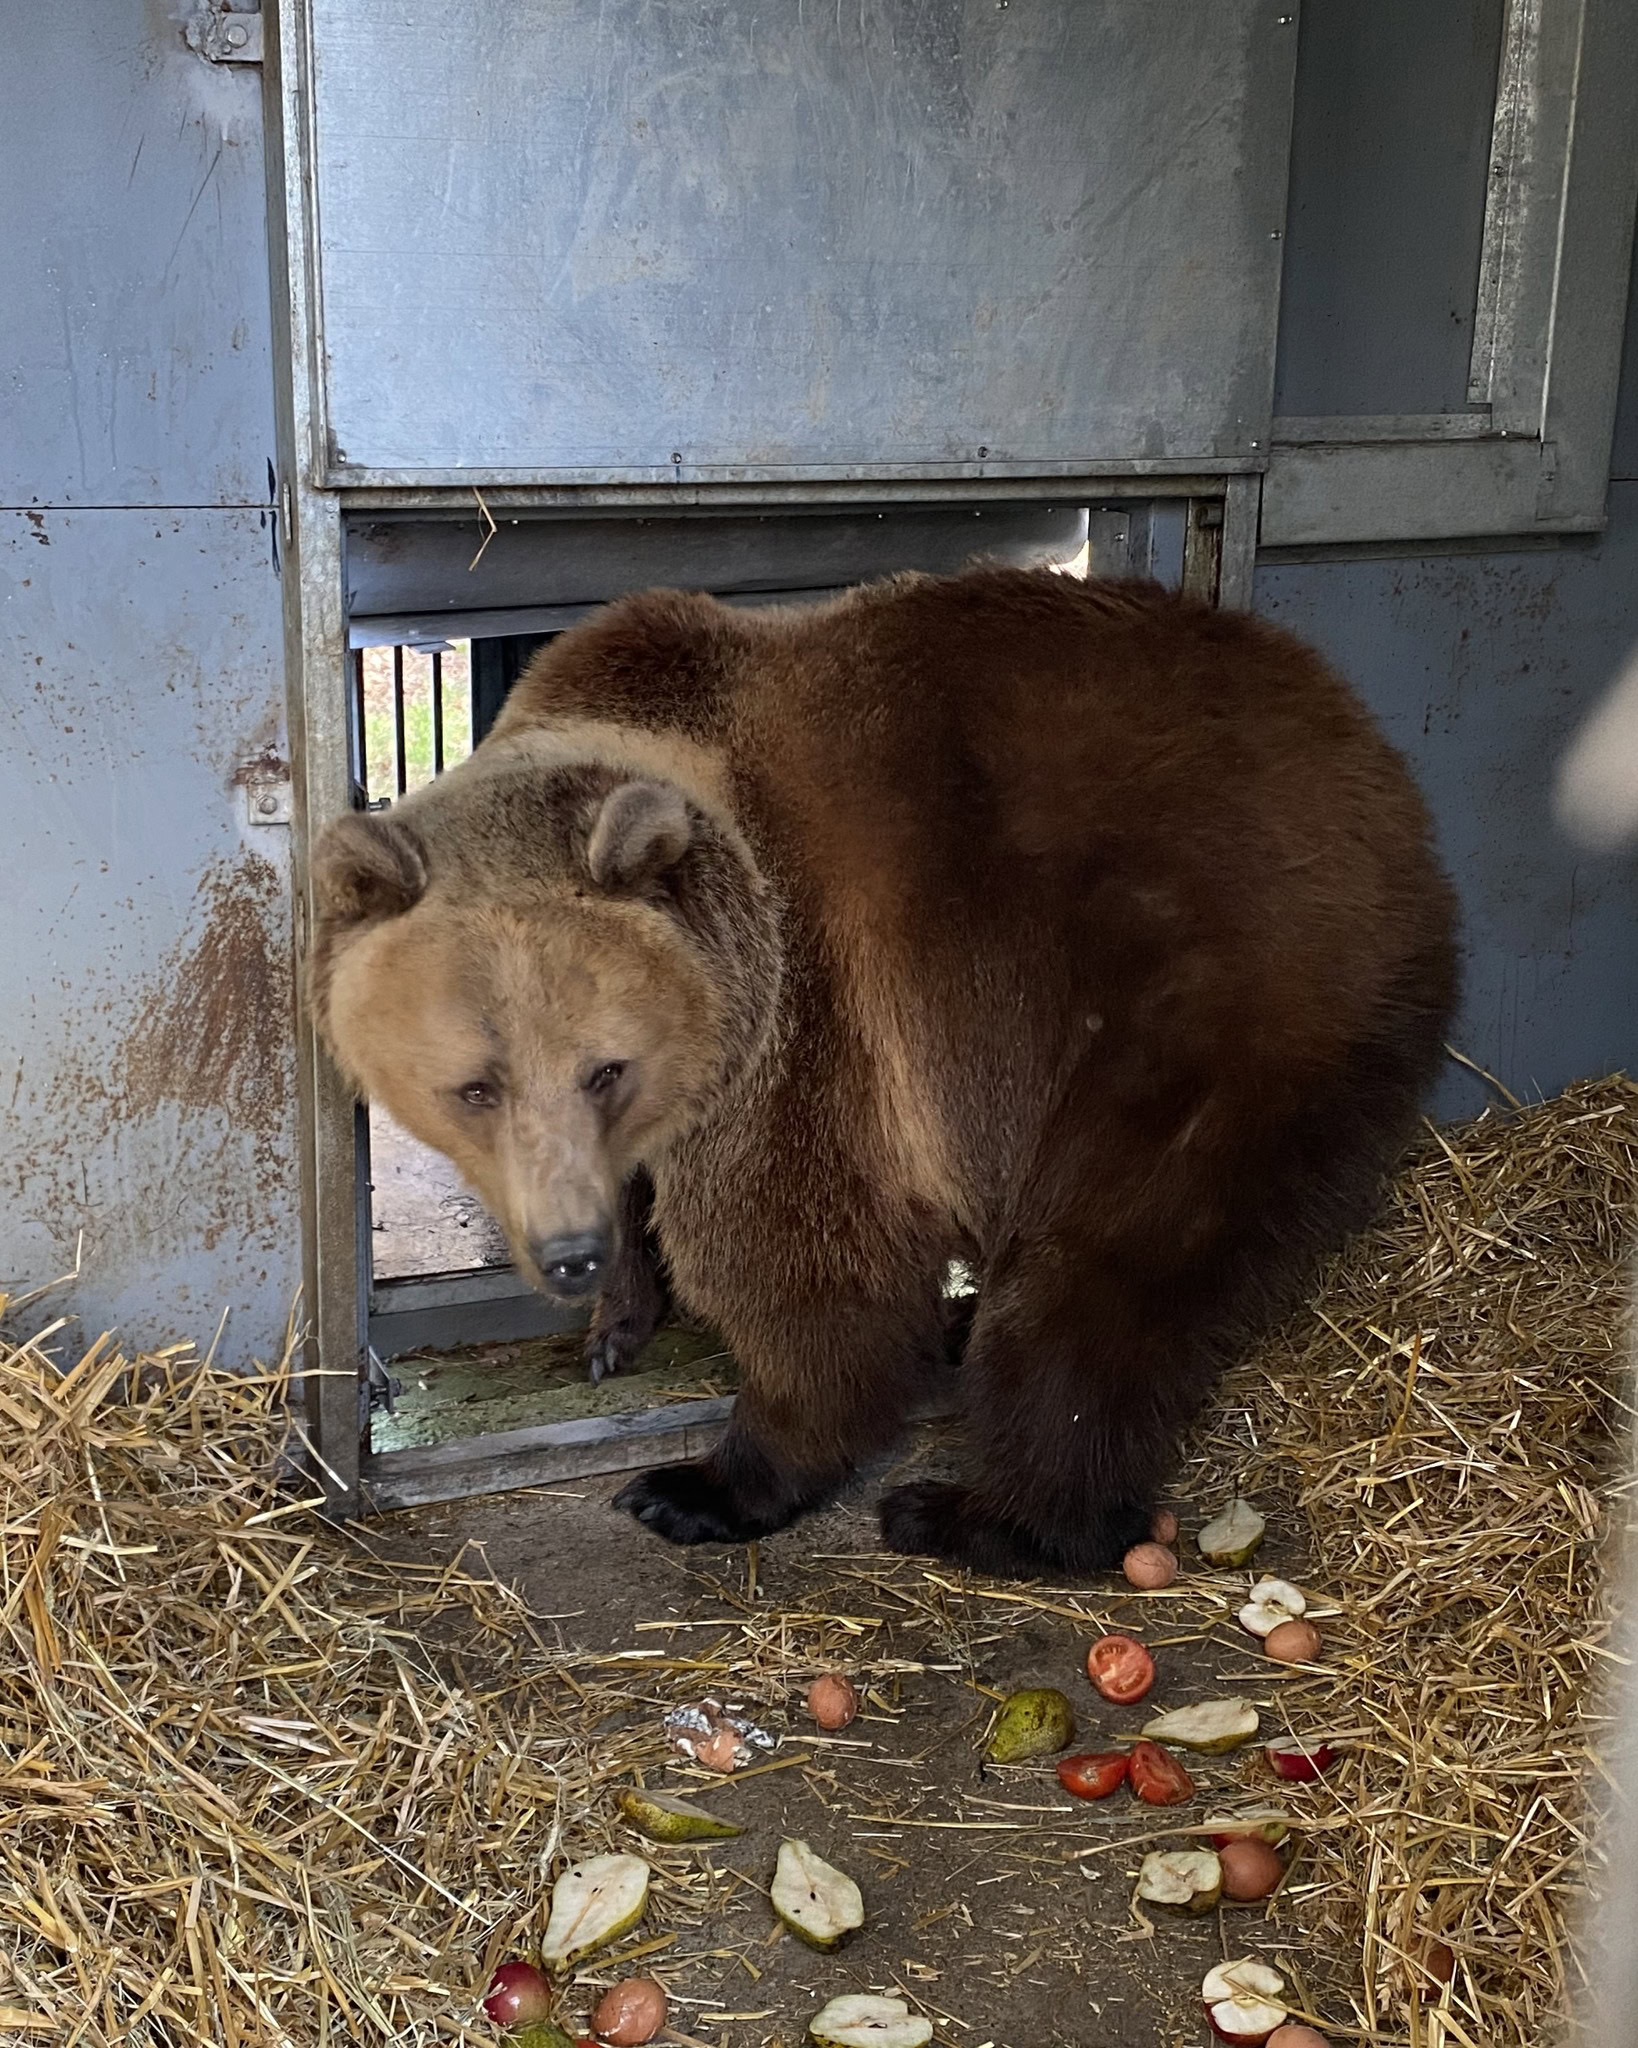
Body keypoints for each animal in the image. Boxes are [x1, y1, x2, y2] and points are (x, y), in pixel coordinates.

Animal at [311, 561, 1457, 1564]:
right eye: (475, 1085)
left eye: (605, 1067)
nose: (568, 1256)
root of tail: (1376, 768)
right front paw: (616, 1322)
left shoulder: (814, 1017)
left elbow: (808, 1270)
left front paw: (706, 1481)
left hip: (1197, 1005)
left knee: (1100, 1270)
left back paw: (983, 1513)